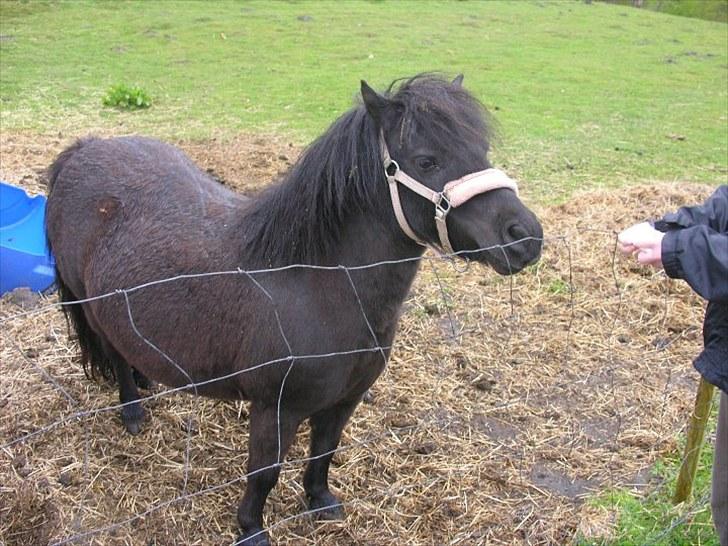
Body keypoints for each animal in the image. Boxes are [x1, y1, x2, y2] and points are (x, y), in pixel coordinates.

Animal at [45, 74, 544, 540]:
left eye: (481, 150)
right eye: (427, 160)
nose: (525, 236)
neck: (317, 285)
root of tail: (85, 150)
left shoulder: (345, 399)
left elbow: (326, 449)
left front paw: (320, 501)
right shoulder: (275, 409)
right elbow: (264, 474)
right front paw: (251, 529)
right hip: (90, 304)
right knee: (113, 354)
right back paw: (132, 411)